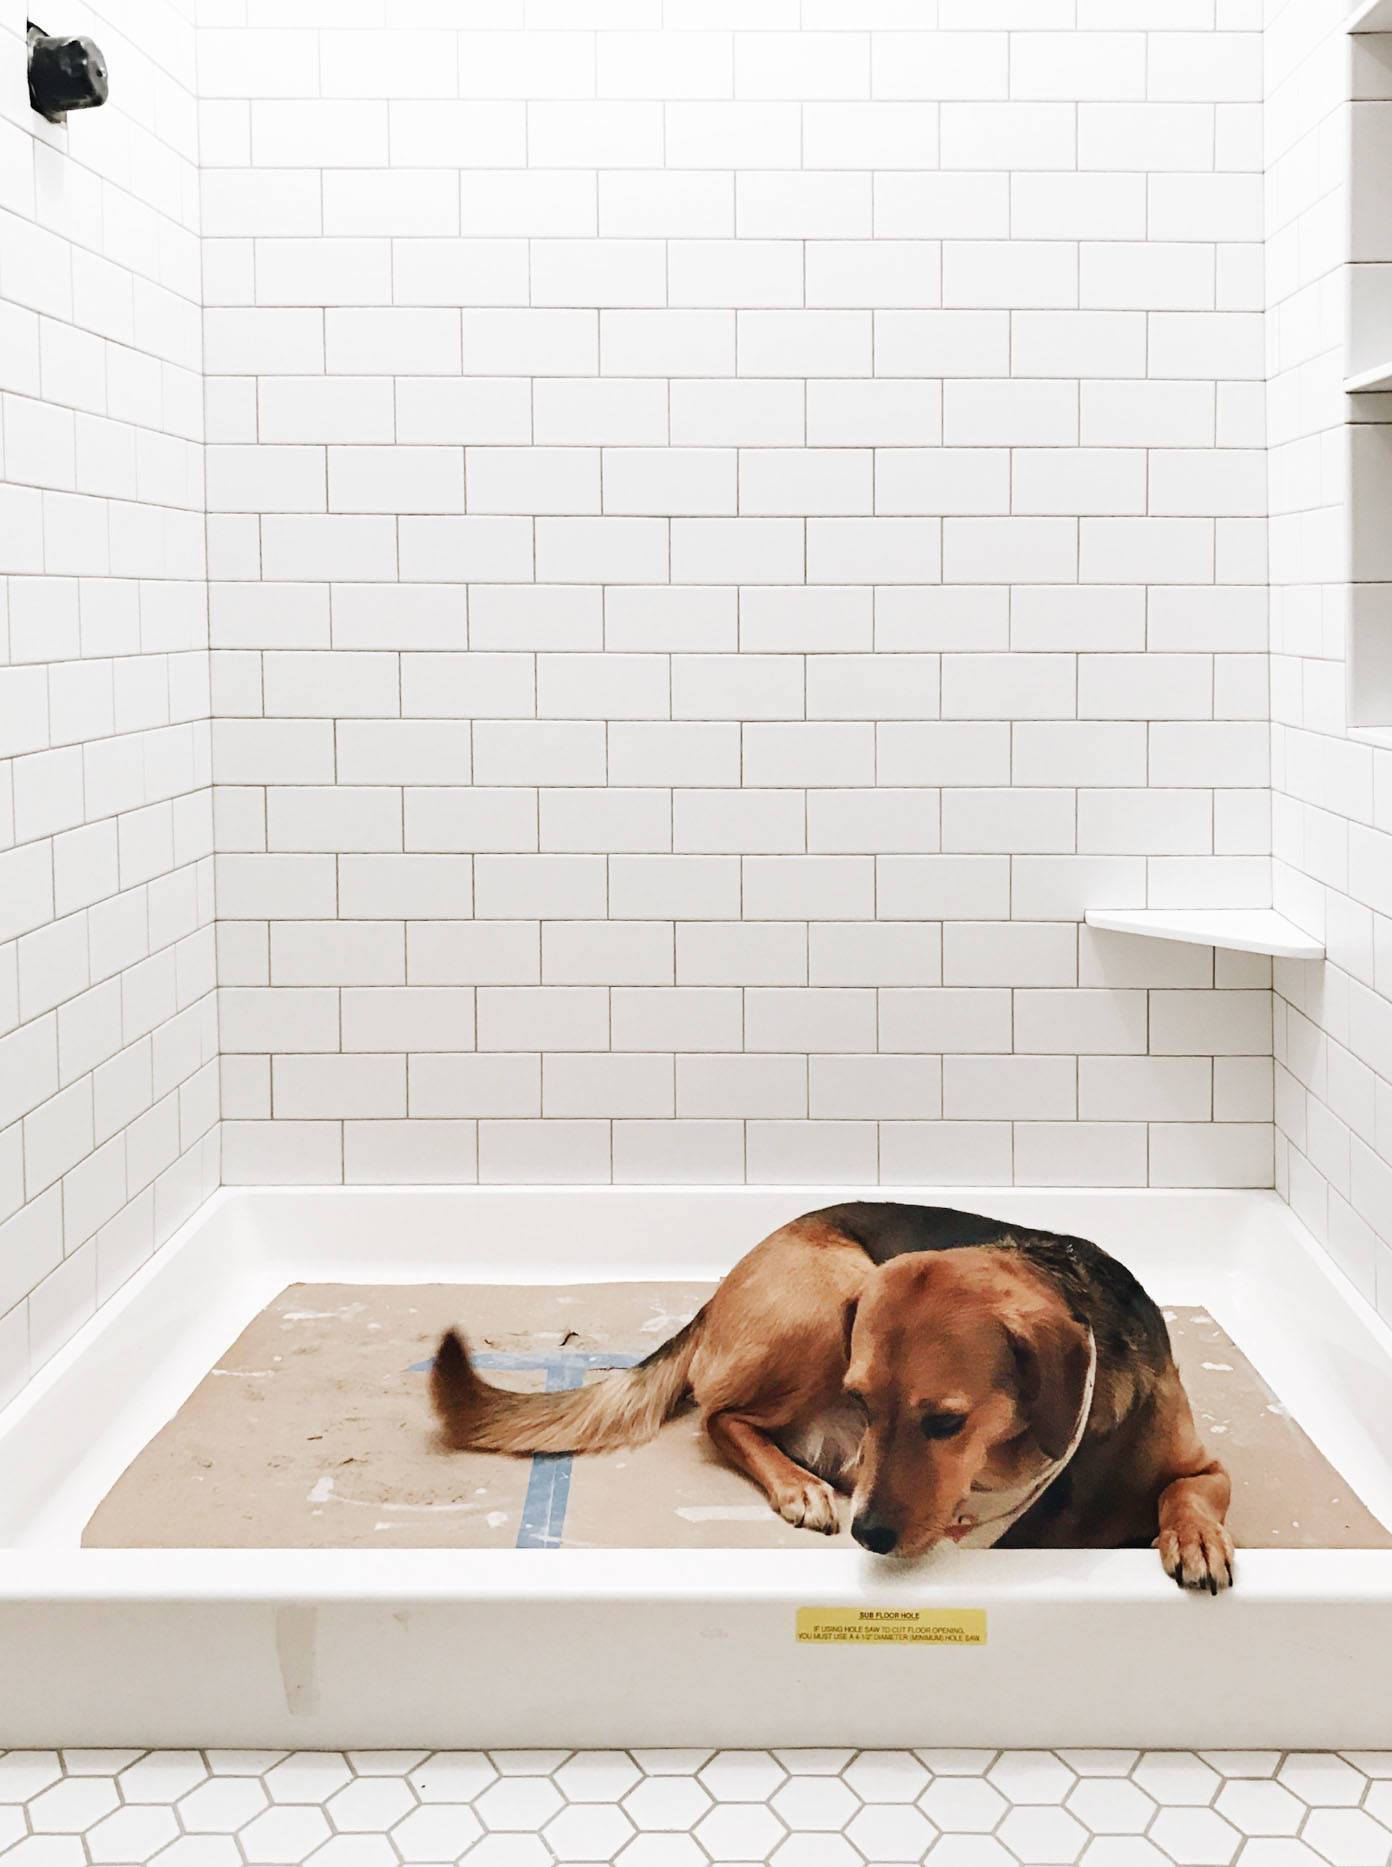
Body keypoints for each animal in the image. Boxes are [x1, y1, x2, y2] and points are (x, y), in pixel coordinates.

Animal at [431, 1209, 1224, 1590]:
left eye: (947, 1421)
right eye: (864, 1402)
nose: (868, 1536)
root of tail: (717, 1293)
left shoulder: (1205, 1467)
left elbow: (1186, 1492)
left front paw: (1195, 1539)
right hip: (834, 1293)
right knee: (720, 1418)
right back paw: (799, 1485)